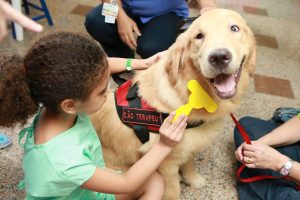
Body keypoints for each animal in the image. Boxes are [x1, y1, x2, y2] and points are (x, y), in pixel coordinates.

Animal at [91, 8, 255, 199]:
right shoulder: (165, 161)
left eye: (234, 28)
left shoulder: (189, 144)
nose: (219, 57)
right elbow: (173, 188)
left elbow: (189, 163)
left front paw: (193, 180)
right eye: (199, 36)